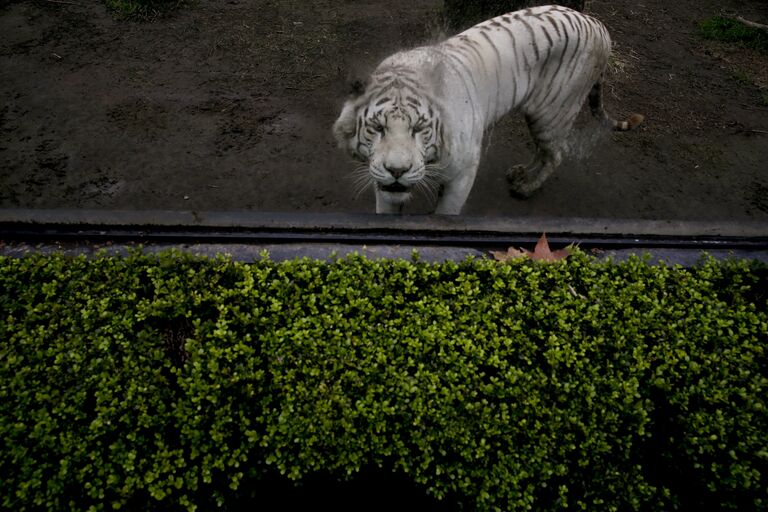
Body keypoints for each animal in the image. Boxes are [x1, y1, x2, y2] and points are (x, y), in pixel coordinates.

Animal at [332, 3, 644, 214]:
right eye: (377, 128)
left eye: (419, 129)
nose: (397, 170)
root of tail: (598, 24)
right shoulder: (381, 180)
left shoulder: (463, 172)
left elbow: (446, 212)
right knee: (544, 149)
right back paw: (520, 173)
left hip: (554, 110)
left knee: (556, 153)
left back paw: (526, 188)